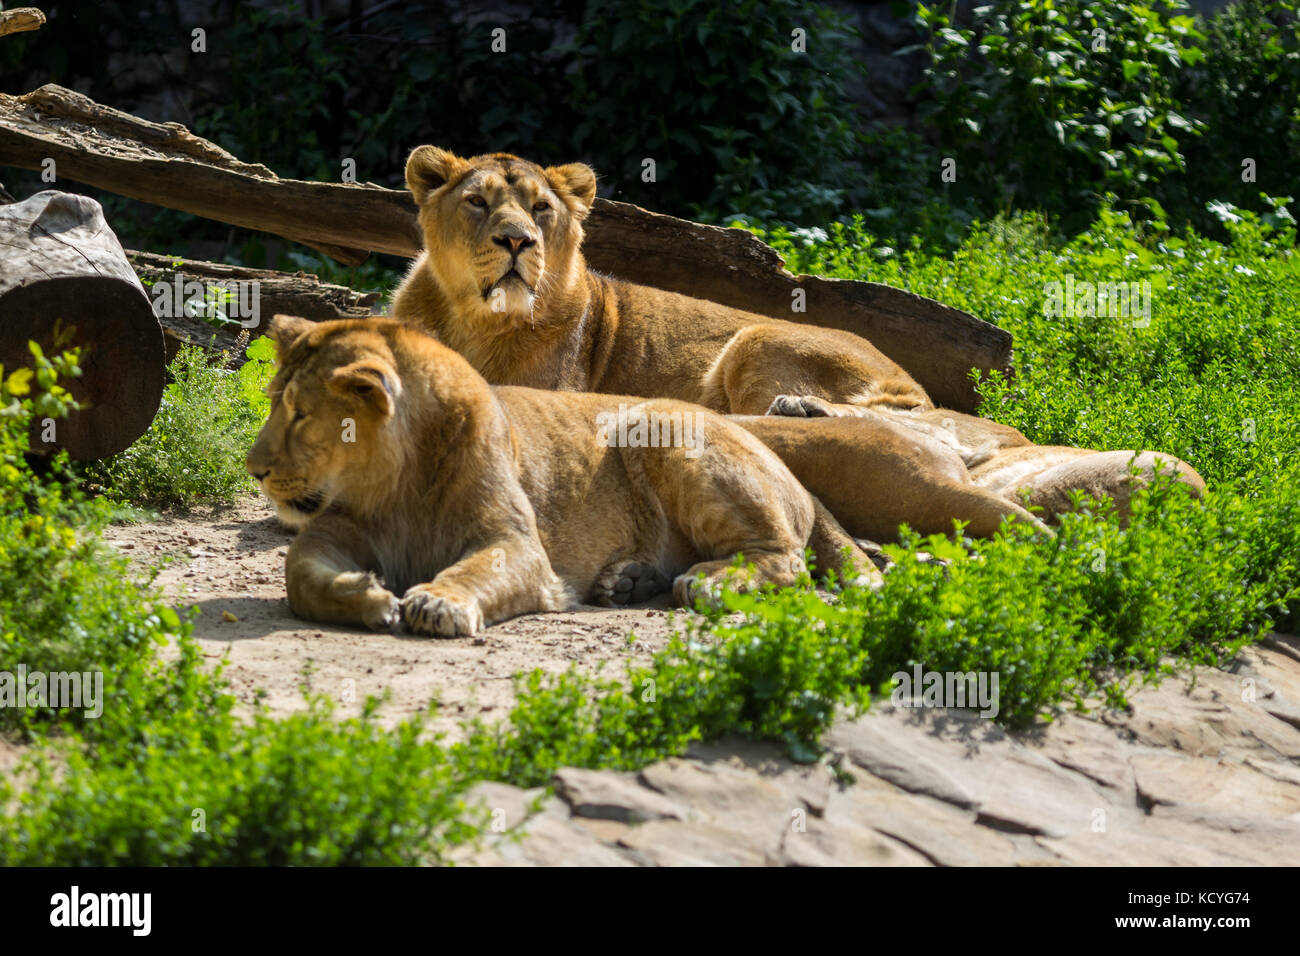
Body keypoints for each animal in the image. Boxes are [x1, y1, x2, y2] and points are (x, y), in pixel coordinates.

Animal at [245, 316, 1062, 636]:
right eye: (274, 405)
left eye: (300, 415)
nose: (255, 469)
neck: (395, 481)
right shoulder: (333, 532)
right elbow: (299, 572)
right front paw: (363, 595)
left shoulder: (520, 548)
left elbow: (476, 571)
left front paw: (438, 603)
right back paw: (630, 581)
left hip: (671, 432)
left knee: (784, 560)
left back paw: (706, 584)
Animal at [391, 145, 1205, 524]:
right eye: (479, 203)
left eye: (542, 208)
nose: (518, 241)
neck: (475, 319)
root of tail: (908, 373)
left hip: (756, 339)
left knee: (908, 427)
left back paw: (796, 411)